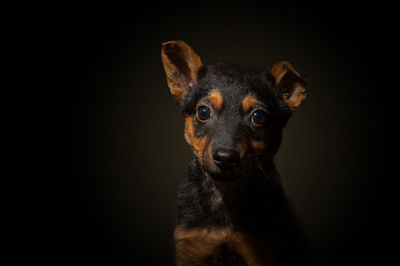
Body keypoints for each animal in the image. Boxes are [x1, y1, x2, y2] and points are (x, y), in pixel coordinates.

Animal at [161, 40, 308, 264]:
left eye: (258, 117)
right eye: (203, 112)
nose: (225, 157)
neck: (225, 192)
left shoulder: (261, 247)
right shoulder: (191, 246)